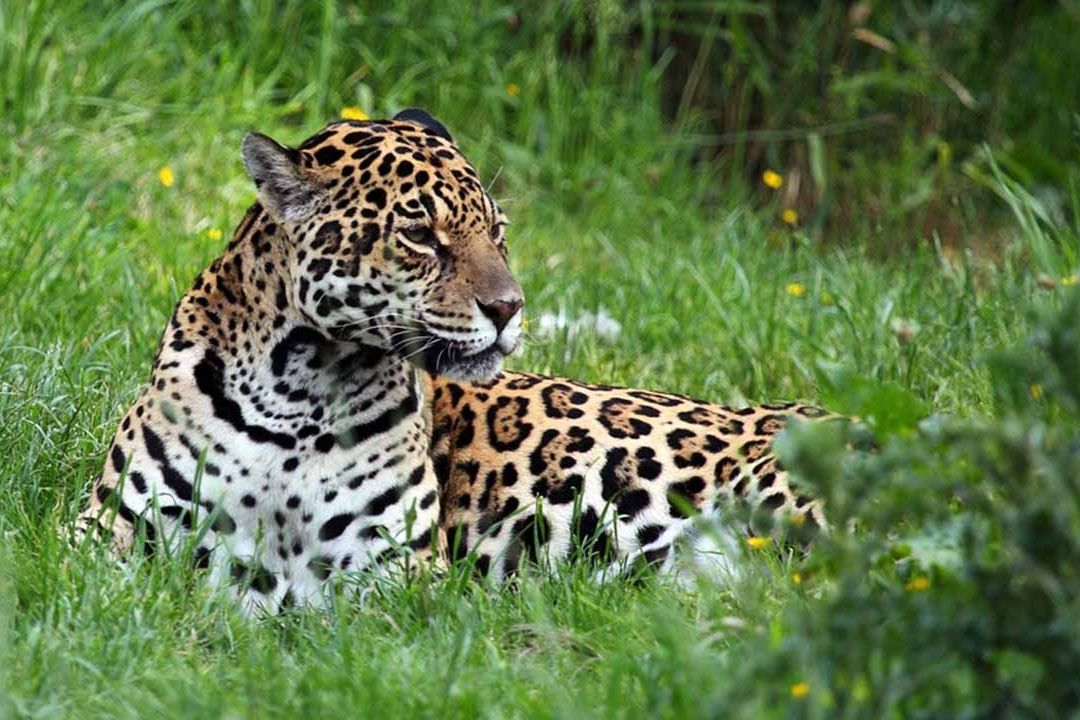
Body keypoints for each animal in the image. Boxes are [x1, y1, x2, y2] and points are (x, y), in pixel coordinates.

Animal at [78, 109, 834, 612]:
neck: (300, 390)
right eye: (420, 235)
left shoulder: (391, 575)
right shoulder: (108, 536)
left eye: (497, 232)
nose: (510, 308)